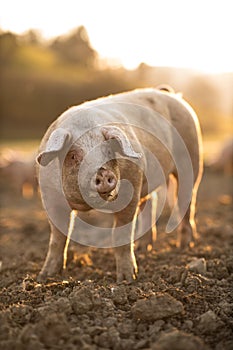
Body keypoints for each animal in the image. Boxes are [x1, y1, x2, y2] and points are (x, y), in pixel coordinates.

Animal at [36, 87, 202, 282]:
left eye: (109, 150)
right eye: (73, 156)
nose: (103, 173)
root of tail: (170, 93)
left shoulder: (131, 189)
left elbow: (121, 235)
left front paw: (127, 279)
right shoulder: (50, 198)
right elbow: (57, 239)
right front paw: (45, 276)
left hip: (192, 160)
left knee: (187, 203)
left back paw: (184, 246)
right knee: (150, 205)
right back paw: (143, 248)